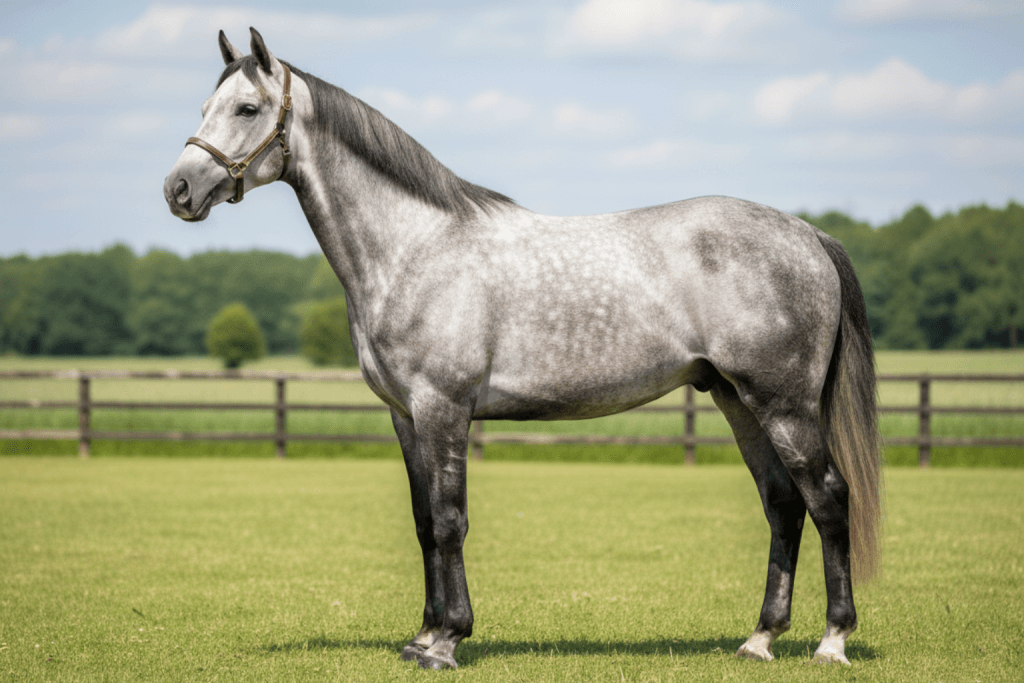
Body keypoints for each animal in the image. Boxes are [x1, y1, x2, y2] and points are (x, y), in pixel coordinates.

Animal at [164, 28, 883, 670]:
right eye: (203, 108)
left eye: (247, 109)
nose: (178, 190)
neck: (414, 247)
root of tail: (807, 233)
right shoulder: (405, 415)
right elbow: (423, 522)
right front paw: (422, 636)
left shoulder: (443, 407)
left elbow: (450, 519)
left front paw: (448, 642)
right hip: (738, 399)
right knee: (783, 504)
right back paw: (760, 638)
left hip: (784, 404)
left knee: (828, 498)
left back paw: (832, 640)